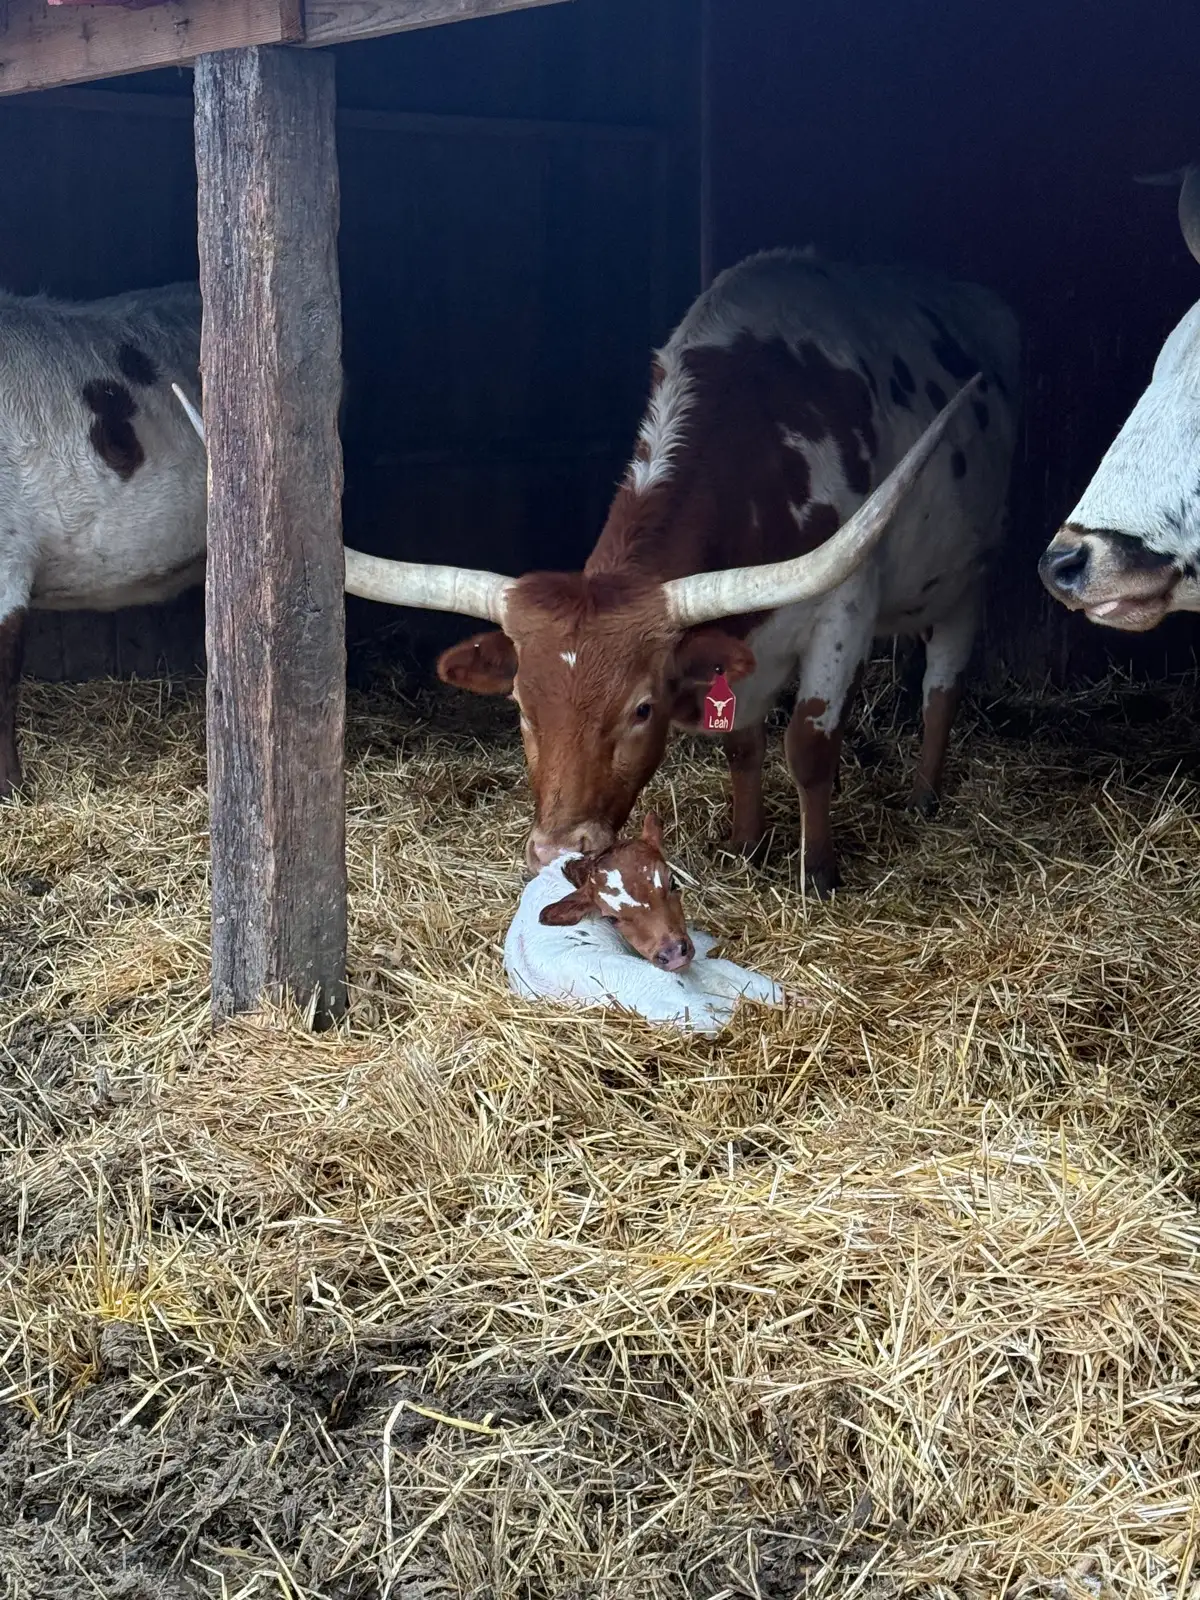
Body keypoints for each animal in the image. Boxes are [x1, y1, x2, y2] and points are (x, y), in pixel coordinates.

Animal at [340, 250, 1020, 892]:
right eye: (521, 705)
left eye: (643, 710)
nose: (557, 852)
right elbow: (742, 741)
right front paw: (745, 846)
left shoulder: (844, 612)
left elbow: (809, 744)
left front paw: (818, 875)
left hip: (969, 581)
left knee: (942, 685)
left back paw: (924, 794)